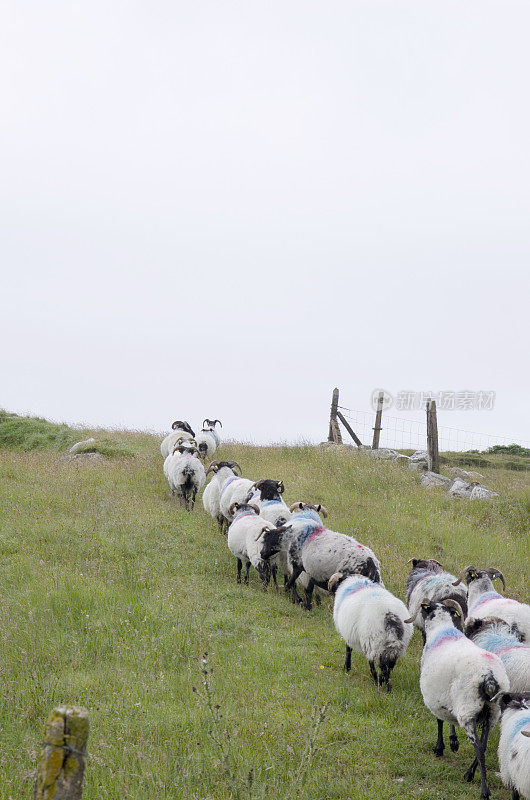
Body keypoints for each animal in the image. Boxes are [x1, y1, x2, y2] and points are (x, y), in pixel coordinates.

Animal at [408, 596, 508, 796]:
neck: (441, 630)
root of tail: (489, 677)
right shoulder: (447, 697)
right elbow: (448, 719)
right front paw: (452, 741)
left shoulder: (435, 697)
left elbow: (440, 720)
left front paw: (440, 748)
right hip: (492, 713)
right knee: (484, 744)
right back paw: (469, 773)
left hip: (468, 710)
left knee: (479, 747)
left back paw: (484, 790)